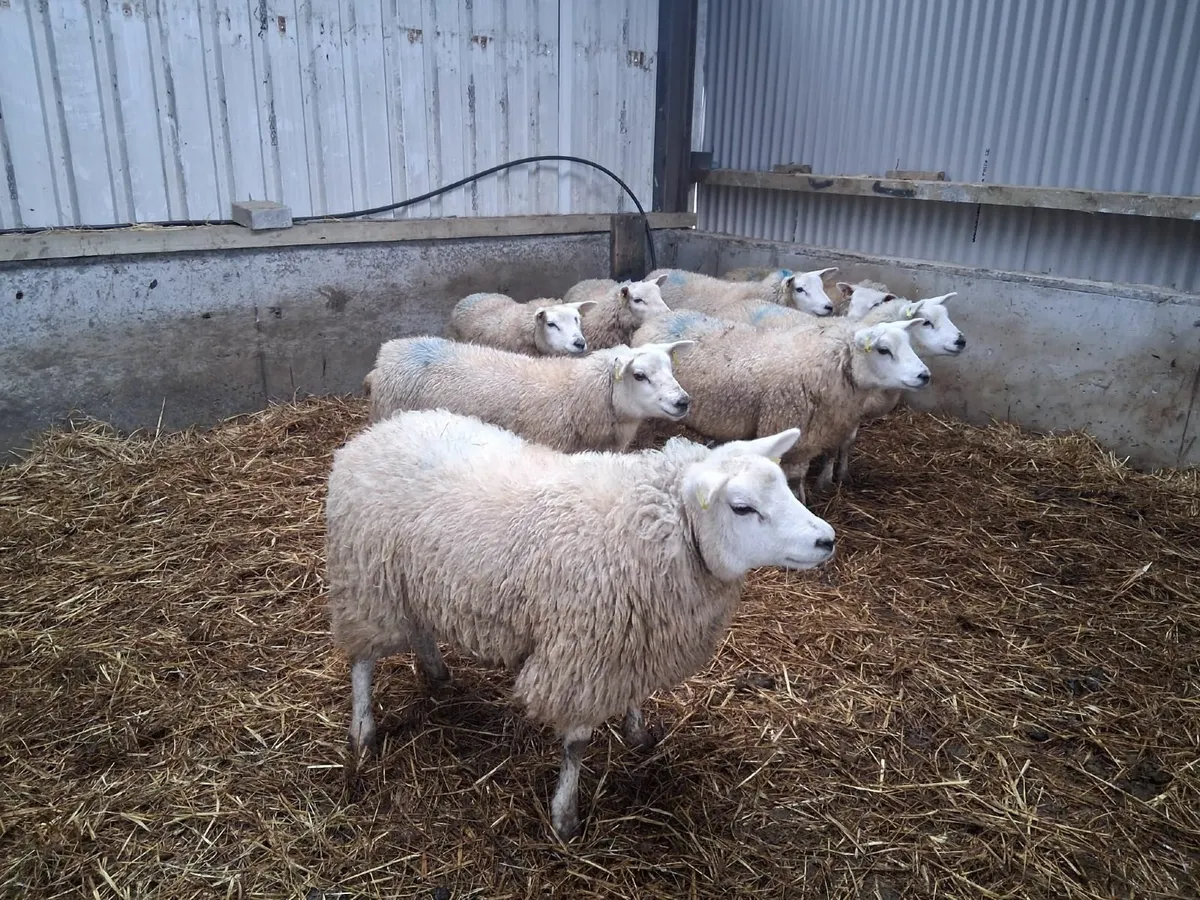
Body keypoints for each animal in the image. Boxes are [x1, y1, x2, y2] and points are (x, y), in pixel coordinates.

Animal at [326, 407, 837, 840]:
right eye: (742, 506)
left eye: (783, 486)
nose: (826, 540)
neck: (652, 527)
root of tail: (378, 431)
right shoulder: (583, 652)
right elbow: (576, 744)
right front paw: (565, 817)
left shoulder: (630, 637)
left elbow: (633, 696)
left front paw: (638, 734)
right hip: (365, 579)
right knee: (364, 660)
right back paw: (363, 732)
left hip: (412, 577)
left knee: (419, 625)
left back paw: (435, 672)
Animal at [632, 312, 931, 502]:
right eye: (883, 350)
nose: (924, 375)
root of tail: (654, 320)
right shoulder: (790, 428)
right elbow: (794, 478)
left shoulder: (819, 432)